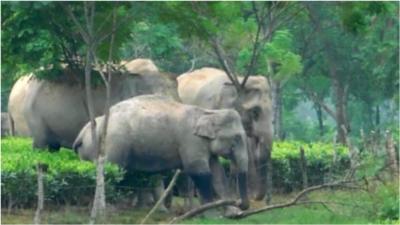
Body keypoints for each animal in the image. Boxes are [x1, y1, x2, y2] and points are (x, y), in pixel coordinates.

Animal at [72, 94, 250, 209]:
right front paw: (209, 212)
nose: (241, 204)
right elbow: (199, 171)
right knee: (113, 171)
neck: (207, 112)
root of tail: (82, 134)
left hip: (88, 153)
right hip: (112, 143)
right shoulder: (191, 141)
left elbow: (218, 173)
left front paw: (229, 213)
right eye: (237, 138)